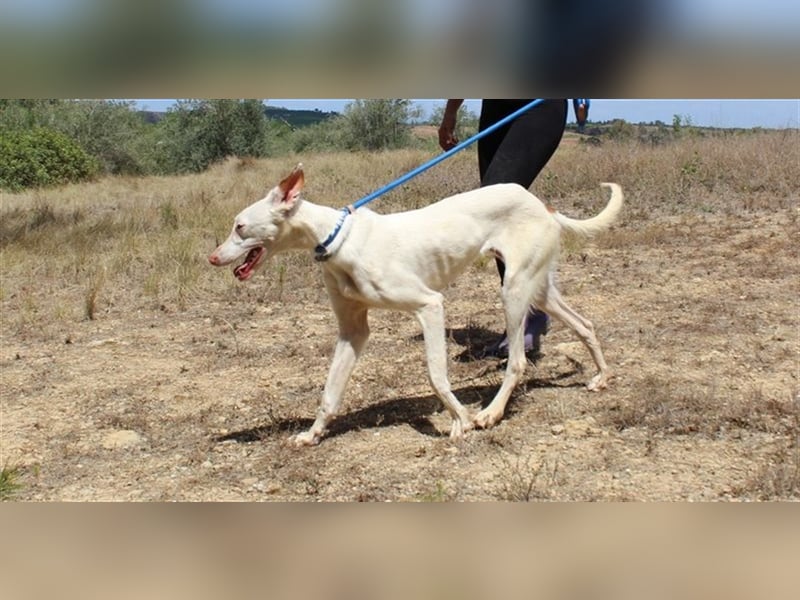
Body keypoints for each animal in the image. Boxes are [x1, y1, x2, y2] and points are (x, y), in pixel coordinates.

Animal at [206, 165, 620, 446]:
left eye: (240, 227)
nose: (211, 258)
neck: (338, 238)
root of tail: (542, 204)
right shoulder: (353, 331)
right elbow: (329, 392)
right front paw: (312, 434)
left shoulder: (430, 305)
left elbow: (436, 375)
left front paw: (460, 419)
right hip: (538, 289)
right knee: (585, 325)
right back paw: (601, 378)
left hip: (514, 291)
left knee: (517, 361)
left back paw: (490, 413)